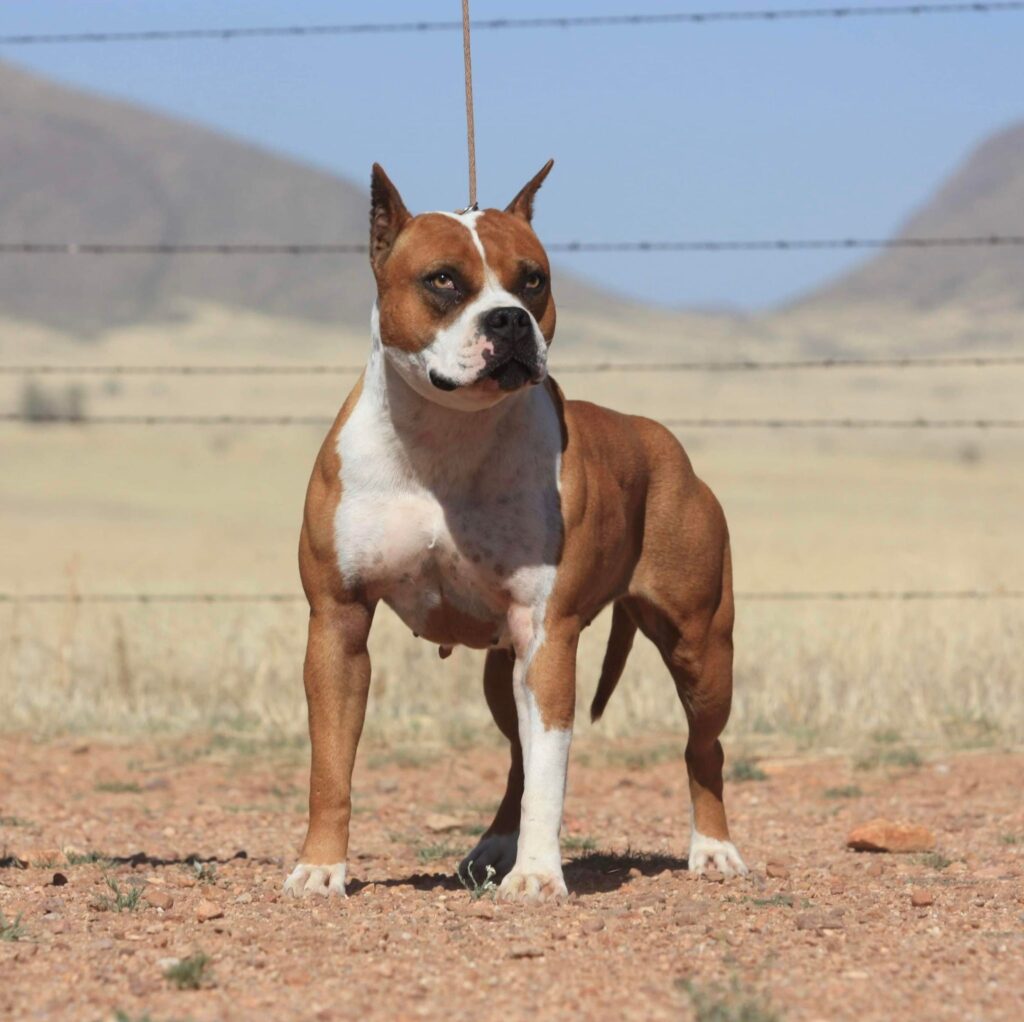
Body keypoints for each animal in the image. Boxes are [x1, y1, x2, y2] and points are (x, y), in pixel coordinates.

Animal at [284, 159, 749, 905]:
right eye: (444, 279)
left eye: (534, 279)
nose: (509, 318)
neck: (448, 435)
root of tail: (662, 443)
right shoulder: (337, 622)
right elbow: (331, 765)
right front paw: (321, 867)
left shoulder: (547, 634)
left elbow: (551, 770)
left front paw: (536, 874)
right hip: (503, 675)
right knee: (515, 755)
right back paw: (493, 846)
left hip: (700, 647)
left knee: (702, 746)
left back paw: (712, 848)